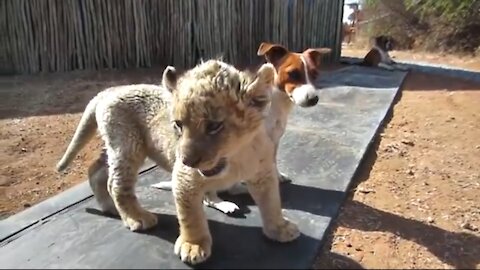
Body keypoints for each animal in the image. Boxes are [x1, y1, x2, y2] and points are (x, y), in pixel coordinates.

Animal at [152, 42, 332, 215]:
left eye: (315, 74)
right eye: (293, 74)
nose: (314, 99)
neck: (276, 105)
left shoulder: (272, 142)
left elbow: (272, 163)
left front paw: (277, 177)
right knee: (209, 195)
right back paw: (222, 203)